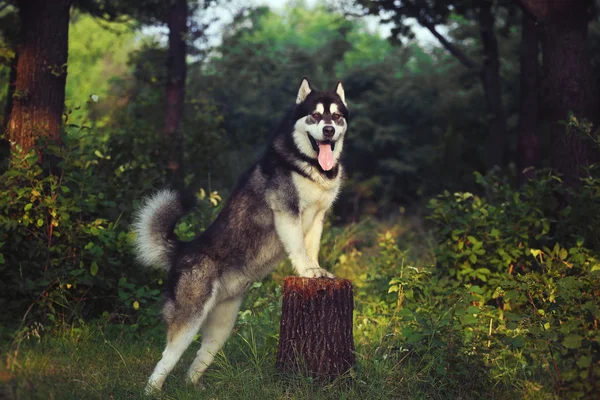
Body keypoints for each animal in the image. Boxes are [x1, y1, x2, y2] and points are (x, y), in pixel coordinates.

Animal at [131, 77, 346, 390]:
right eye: (316, 116)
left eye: (336, 116)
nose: (328, 130)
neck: (309, 165)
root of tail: (183, 249)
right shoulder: (286, 212)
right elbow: (298, 248)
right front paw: (307, 272)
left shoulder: (318, 216)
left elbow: (312, 249)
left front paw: (316, 269)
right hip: (189, 319)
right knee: (165, 360)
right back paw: (152, 390)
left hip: (222, 326)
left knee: (199, 357)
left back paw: (194, 387)